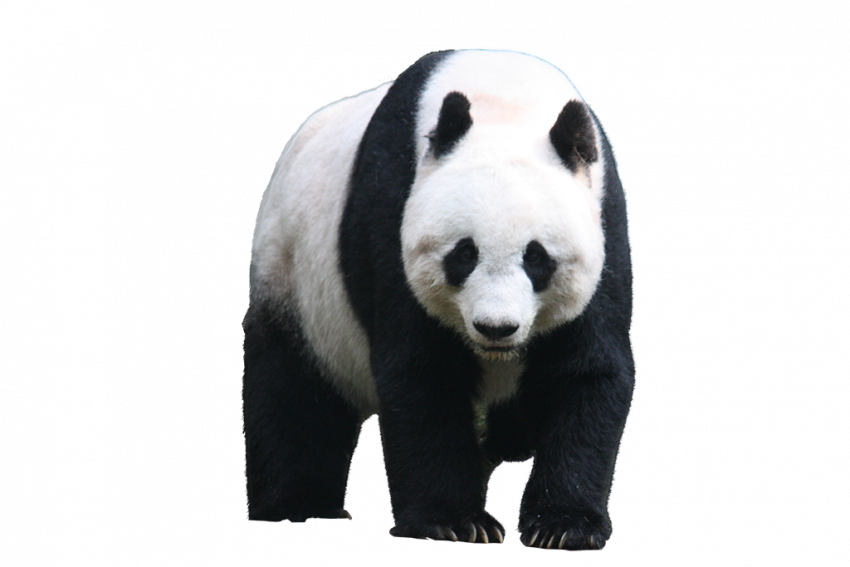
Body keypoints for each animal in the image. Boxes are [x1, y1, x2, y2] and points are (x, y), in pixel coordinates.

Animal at [242, 47, 636, 551]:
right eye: (464, 254)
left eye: (537, 258)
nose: (496, 328)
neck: (504, 100)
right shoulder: (391, 210)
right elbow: (423, 373)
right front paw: (457, 522)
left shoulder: (603, 223)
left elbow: (584, 370)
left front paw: (561, 524)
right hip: (296, 279)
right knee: (293, 392)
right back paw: (297, 504)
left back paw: (508, 445)